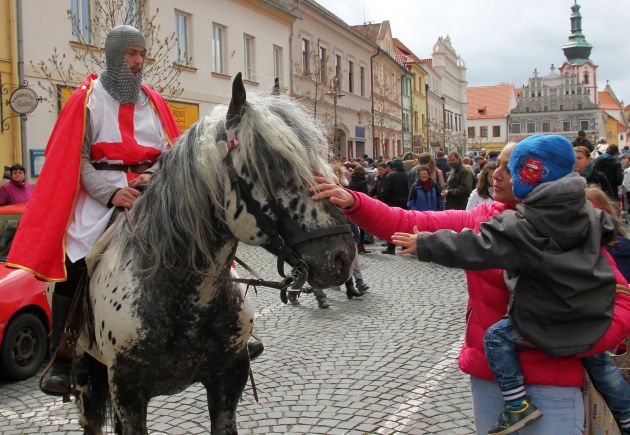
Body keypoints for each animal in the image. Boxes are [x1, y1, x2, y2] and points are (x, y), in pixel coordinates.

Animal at [67, 73, 360, 434]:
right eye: (273, 165)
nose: (343, 256)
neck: (184, 297)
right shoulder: (128, 393)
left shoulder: (228, 378)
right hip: (88, 382)